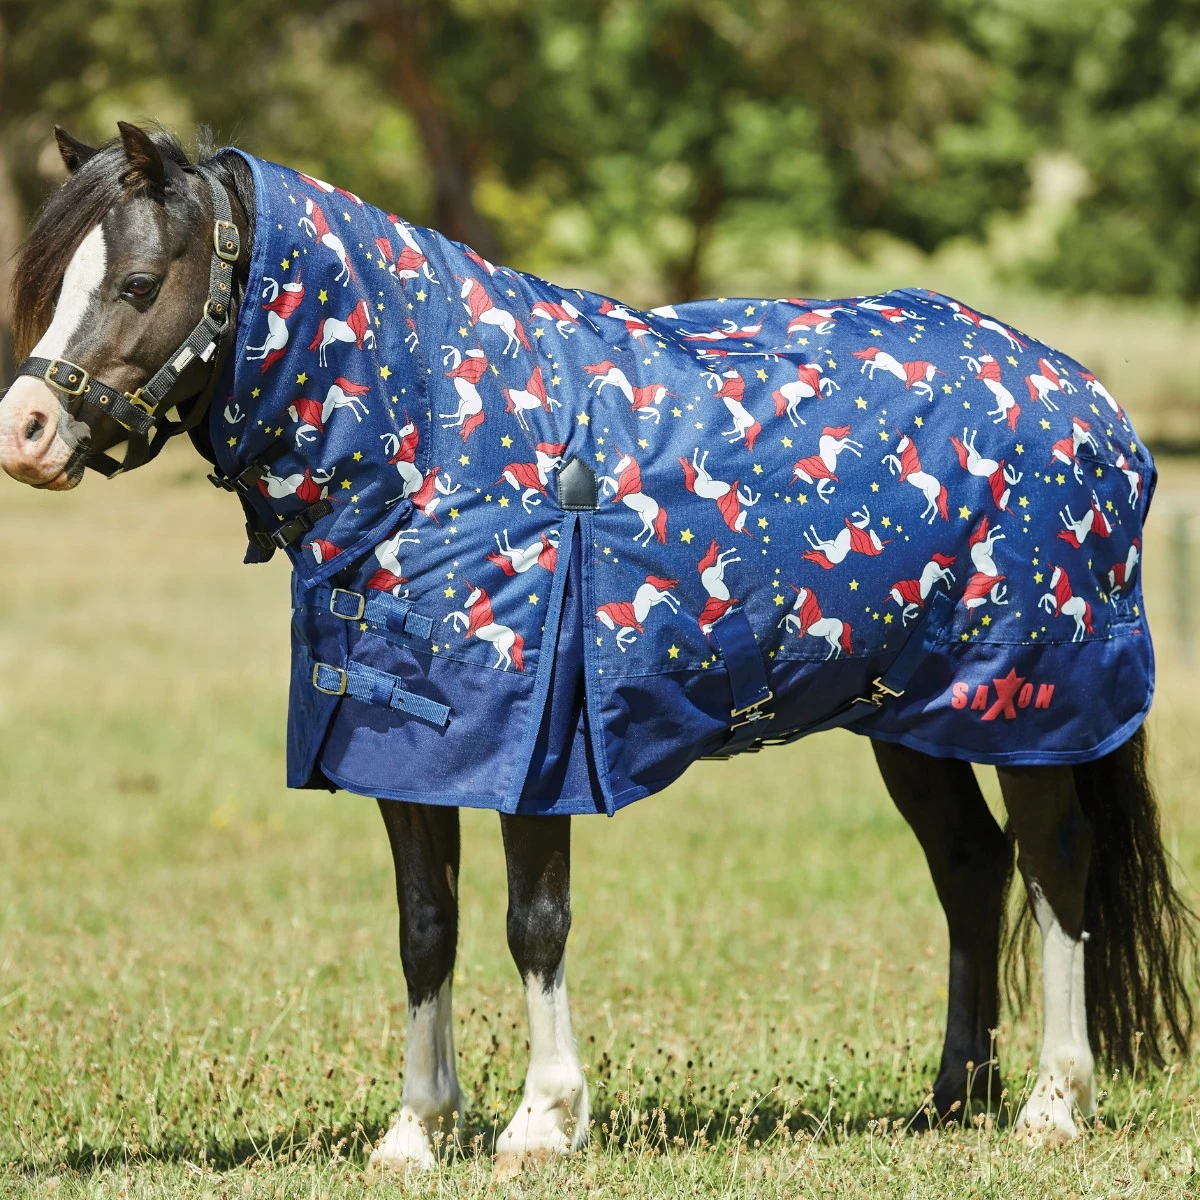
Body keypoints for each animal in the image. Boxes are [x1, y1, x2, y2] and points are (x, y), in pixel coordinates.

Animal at [0, 123, 1195, 1175]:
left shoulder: (537, 751)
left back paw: (1051, 1104)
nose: (25, 434)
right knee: (971, 868)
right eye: (48, 280)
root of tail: (1086, 399)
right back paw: (953, 1100)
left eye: (137, 283)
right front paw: (416, 1131)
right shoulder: (407, 750)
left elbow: (535, 924)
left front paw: (541, 1121)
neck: (440, 443)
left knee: (1055, 868)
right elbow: (426, 928)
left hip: (1033, 707)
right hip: (913, 717)